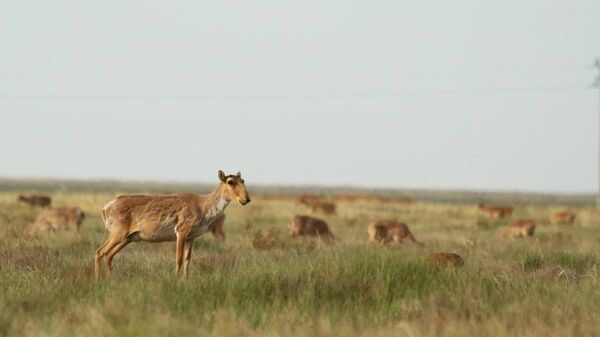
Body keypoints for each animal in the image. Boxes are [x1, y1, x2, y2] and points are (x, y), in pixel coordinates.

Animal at [95, 171, 250, 278]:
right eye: (230, 181)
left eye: (243, 180)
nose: (246, 199)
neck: (202, 206)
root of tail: (106, 207)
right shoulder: (181, 232)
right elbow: (179, 258)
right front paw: (176, 280)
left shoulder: (191, 237)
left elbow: (187, 259)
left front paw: (185, 280)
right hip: (118, 234)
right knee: (100, 252)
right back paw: (98, 280)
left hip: (129, 238)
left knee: (108, 255)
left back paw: (112, 279)